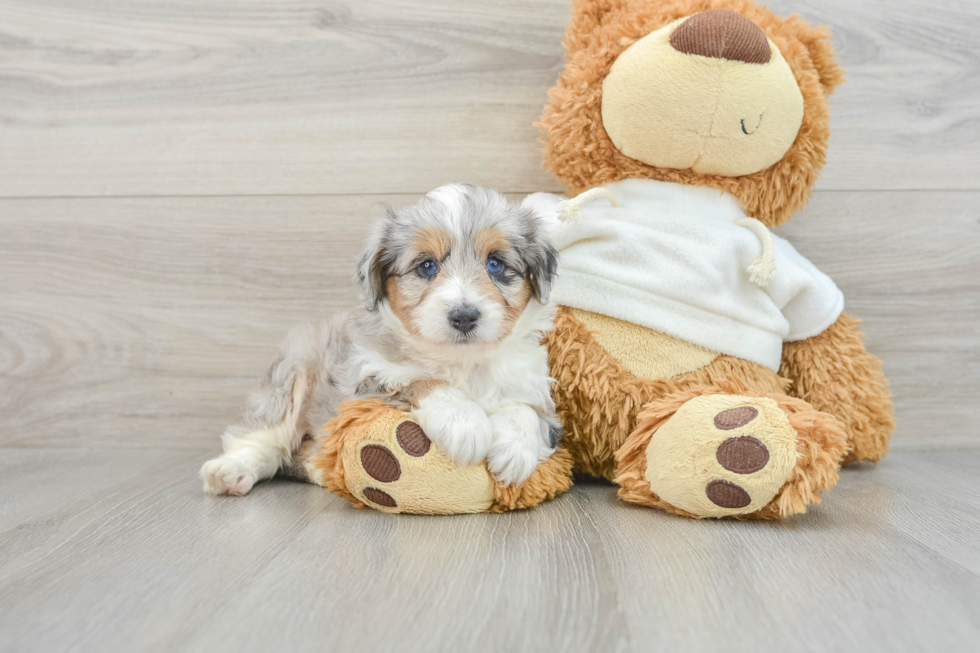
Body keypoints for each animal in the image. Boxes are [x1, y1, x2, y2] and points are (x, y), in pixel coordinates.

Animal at [201, 183, 560, 494]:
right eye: (426, 266)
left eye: (496, 264)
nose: (464, 316)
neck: (462, 362)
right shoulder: (361, 383)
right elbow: (418, 381)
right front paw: (465, 423)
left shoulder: (539, 392)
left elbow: (528, 410)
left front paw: (515, 449)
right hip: (294, 374)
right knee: (265, 434)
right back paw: (231, 470)